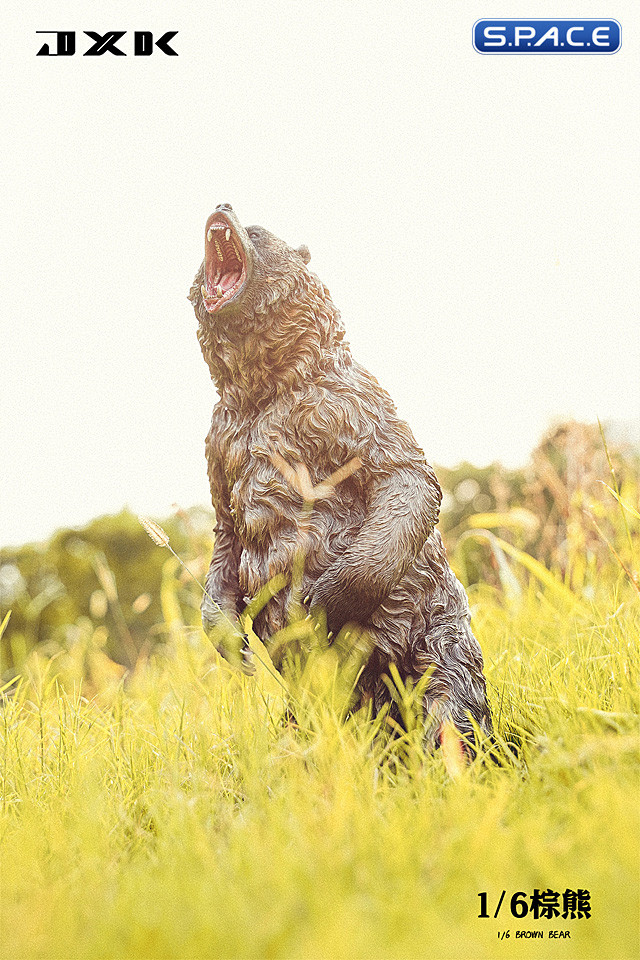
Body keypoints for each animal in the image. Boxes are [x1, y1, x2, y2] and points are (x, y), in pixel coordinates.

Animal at [189, 203, 492, 744]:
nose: (221, 207)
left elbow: (407, 477)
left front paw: (321, 601)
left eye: (258, 231)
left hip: (441, 644)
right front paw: (231, 642)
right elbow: (225, 533)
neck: (263, 396)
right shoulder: (218, 444)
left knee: (450, 710)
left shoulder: (350, 402)